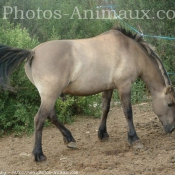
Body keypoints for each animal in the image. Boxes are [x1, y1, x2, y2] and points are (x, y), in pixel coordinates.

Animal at [0, 26, 175, 162]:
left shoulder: (108, 87)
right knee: (39, 119)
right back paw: (38, 154)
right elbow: (128, 112)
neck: (129, 50)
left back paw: (70, 139)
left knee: (51, 116)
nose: (172, 128)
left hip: (49, 96)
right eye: (170, 103)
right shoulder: (124, 86)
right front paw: (134, 139)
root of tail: (33, 53)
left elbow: (105, 109)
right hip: (50, 95)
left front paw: (103, 134)